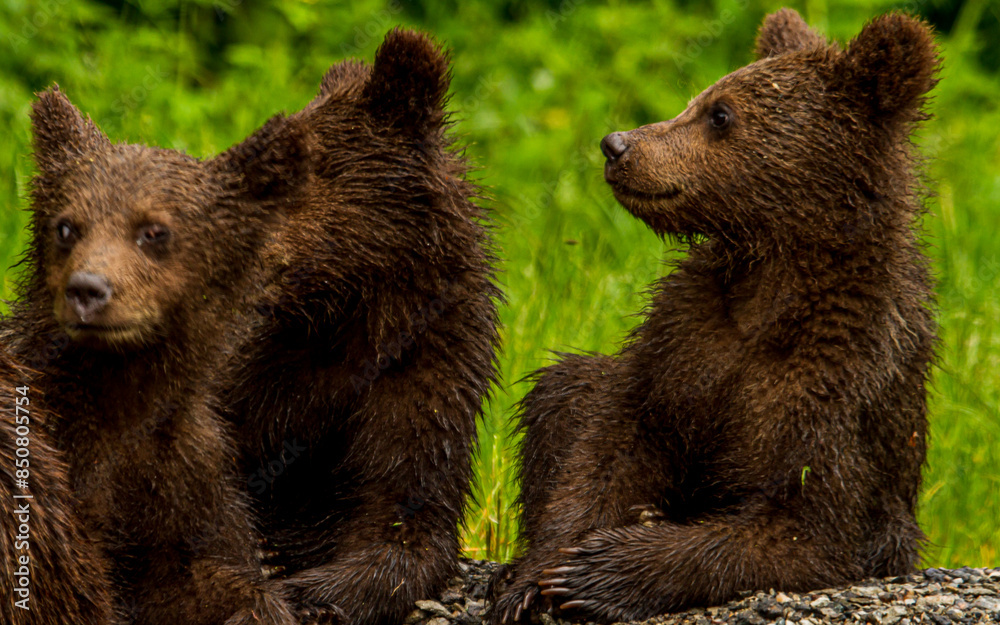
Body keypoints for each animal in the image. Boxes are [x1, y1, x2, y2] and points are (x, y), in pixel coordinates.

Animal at [490, 9, 938, 623]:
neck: (771, 288)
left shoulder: (841, 389)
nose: (617, 145)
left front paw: (598, 571)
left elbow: (802, 529)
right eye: (696, 99)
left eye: (720, 114)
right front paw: (534, 579)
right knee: (565, 386)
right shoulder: (684, 340)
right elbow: (603, 452)